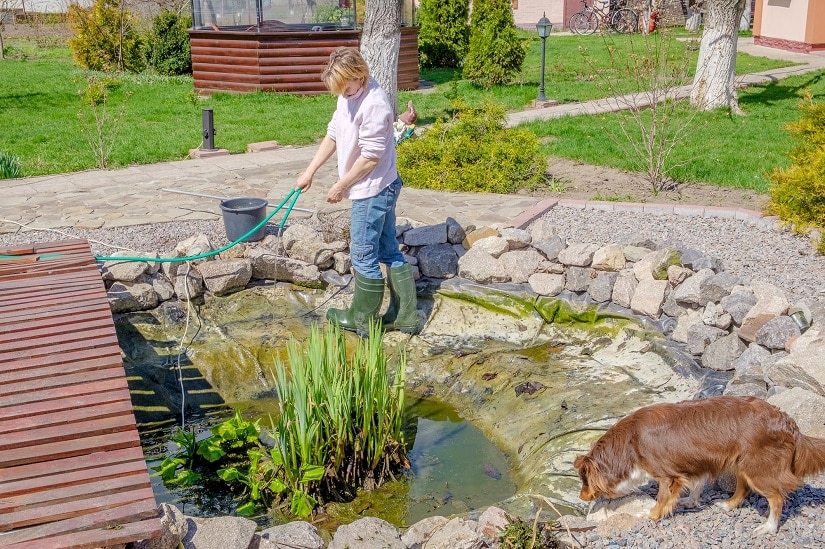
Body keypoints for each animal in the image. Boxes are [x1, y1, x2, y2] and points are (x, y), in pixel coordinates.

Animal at [576, 396, 825, 532]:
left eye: (585, 482)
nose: (581, 496)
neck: (629, 443)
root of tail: (788, 421)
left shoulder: (668, 476)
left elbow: (662, 498)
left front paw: (652, 515)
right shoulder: (697, 463)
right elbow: (695, 486)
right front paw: (690, 502)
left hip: (758, 468)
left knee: (776, 498)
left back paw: (769, 528)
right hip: (742, 463)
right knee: (743, 488)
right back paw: (728, 505)